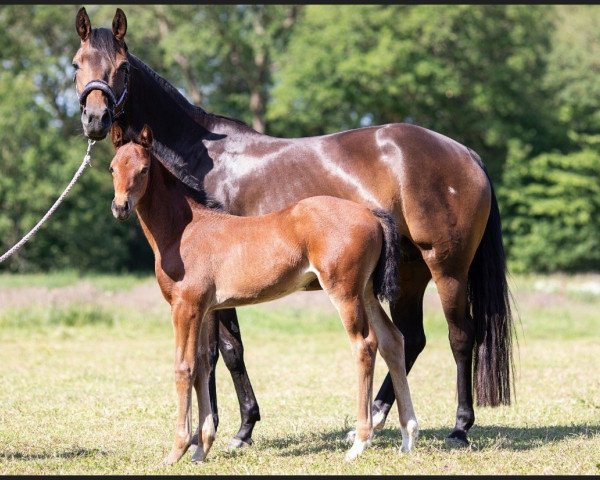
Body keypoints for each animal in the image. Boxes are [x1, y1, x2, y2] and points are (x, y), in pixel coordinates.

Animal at [109, 124, 418, 464]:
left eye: (144, 169)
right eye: (112, 168)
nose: (120, 207)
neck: (186, 231)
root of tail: (372, 214)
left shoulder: (185, 306)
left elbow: (184, 368)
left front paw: (177, 451)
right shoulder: (205, 309)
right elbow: (203, 365)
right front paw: (201, 448)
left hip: (345, 291)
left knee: (364, 346)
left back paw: (359, 443)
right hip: (366, 292)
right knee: (393, 340)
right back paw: (408, 436)